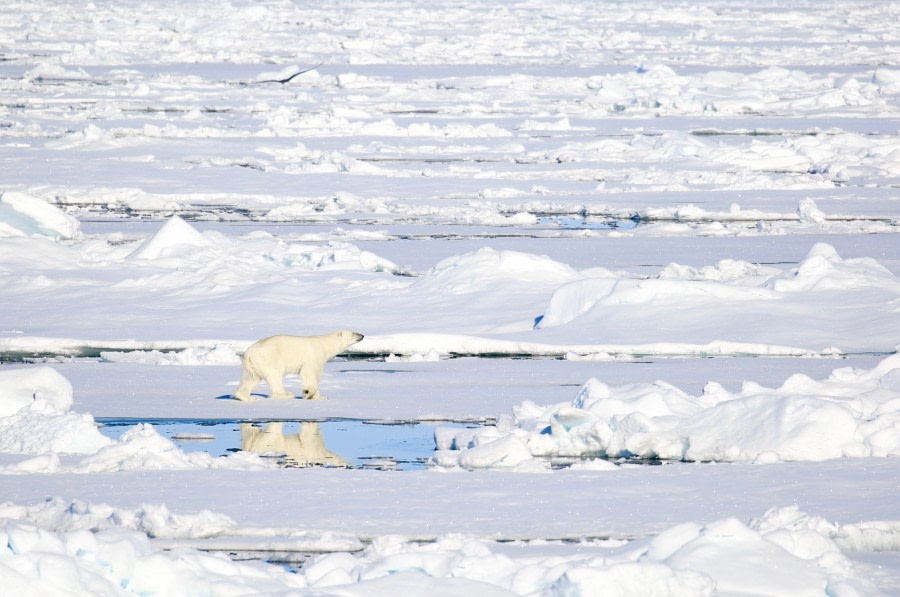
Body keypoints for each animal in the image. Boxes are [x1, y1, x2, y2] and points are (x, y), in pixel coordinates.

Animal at [234, 330, 364, 400]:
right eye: (353, 333)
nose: (362, 335)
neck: (325, 345)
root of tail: (249, 352)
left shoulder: (321, 361)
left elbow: (317, 375)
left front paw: (320, 397)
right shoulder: (313, 356)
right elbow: (309, 373)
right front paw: (307, 393)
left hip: (252, 364)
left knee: (251, 378)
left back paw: (246, 396)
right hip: (268, 359)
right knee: (274, 376)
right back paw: (286, 394)